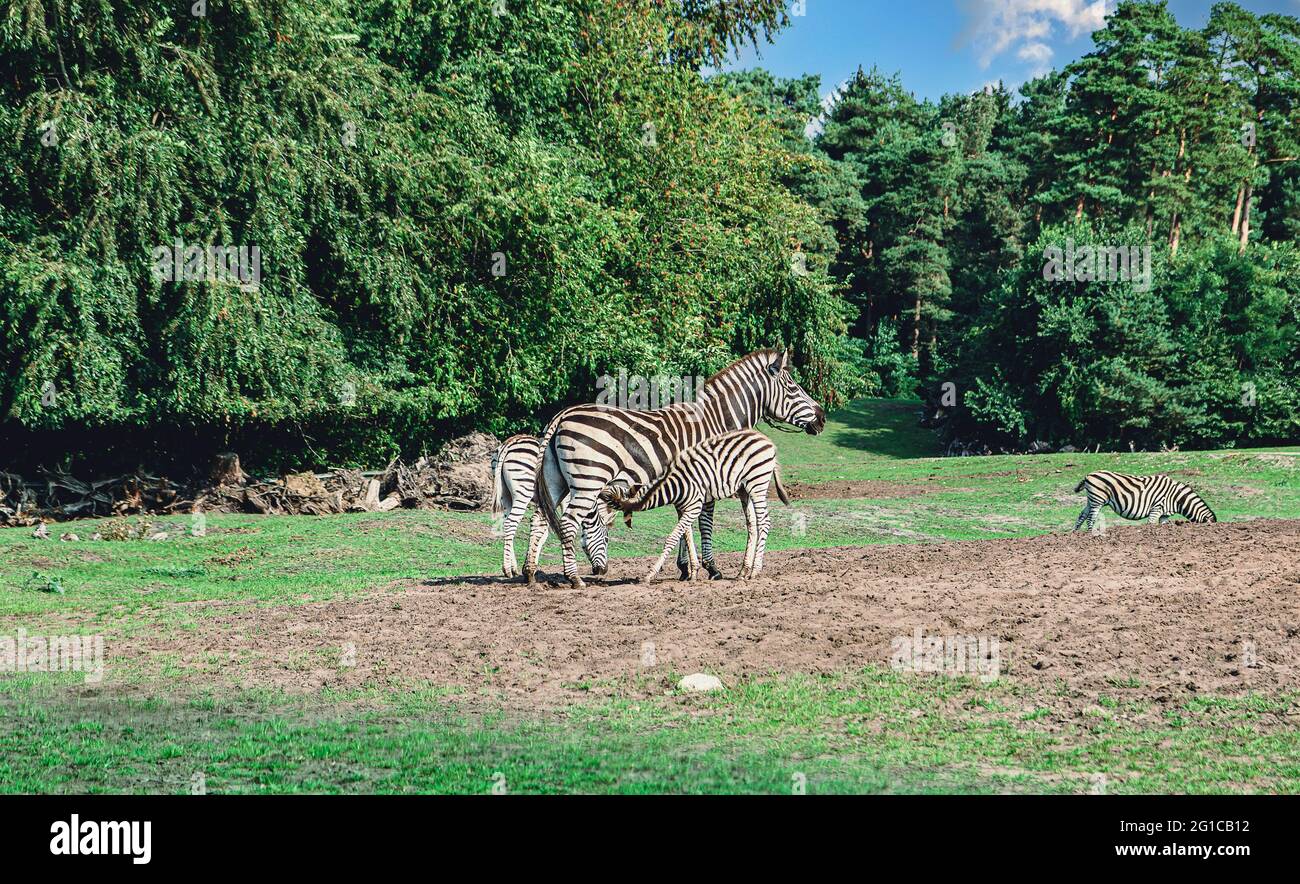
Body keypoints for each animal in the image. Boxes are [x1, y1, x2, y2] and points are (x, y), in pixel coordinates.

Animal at [488, 434, 616, 579]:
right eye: (606, 539)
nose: (603, 571)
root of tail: (510, 442)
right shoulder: (566, 500)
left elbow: (543, 531)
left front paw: (532, 564)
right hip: (523, 492)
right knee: (511, 523)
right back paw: (507, 570)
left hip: (505, 495)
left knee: (507, 524)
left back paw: (513, 567)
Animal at [598, 426, 790, 579]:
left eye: (610, 497)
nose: (599, 491)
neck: (675, 486)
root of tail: (766, 440)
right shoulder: (683, 509)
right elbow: (687, 537)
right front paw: (693, 573)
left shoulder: (694, 507)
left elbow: (672, 538)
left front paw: (651, 574)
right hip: (744, 489)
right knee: (752, 525)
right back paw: (743, 571)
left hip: (757, 483)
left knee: (764, 522)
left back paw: (755, 571)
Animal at [1071, 470, 1211, 533]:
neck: (1176, 498)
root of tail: (1088, 475)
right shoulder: (1157, 507)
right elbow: (1150, 524)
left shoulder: (1164, 514)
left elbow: (1163, 525)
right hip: (1097, 500)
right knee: (1091, 518)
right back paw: (1090, 535)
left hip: (1092, 499)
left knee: (1082, 515)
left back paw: (1075, 534)